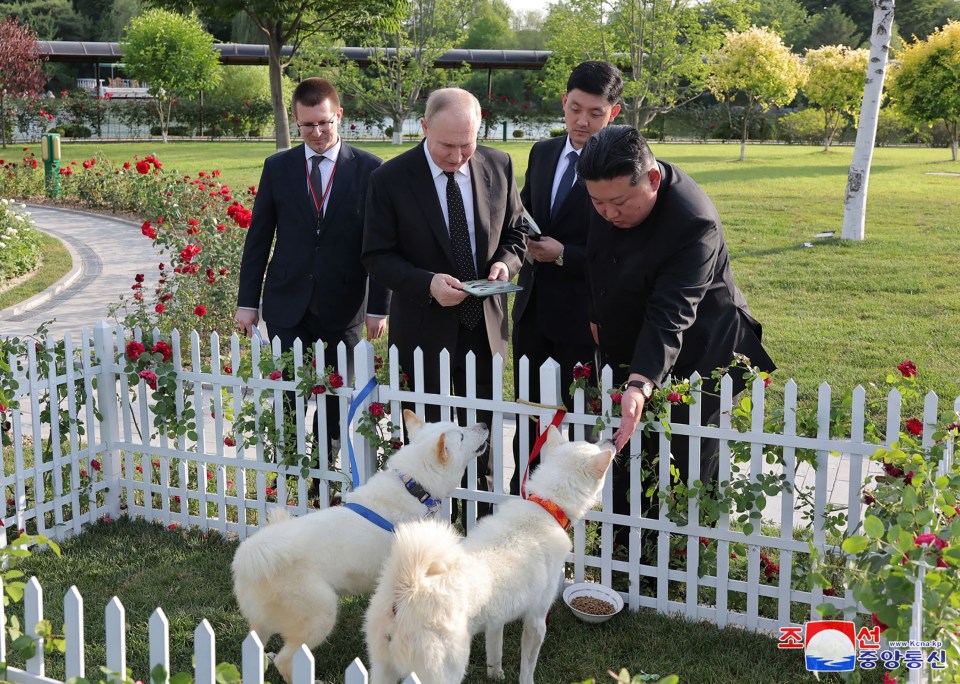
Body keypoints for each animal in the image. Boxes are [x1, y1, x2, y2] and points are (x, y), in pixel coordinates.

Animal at [232, 408, 488, 680]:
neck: (414, 487)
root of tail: (248, 557)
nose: (484, 423)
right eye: (461, 435)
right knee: (286, 659)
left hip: (264, 622)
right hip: (322, 613)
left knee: (256, 646)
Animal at [360, 428, 616, 684]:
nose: (612, 439)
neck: (546, 506)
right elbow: (527, 668)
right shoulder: (536, 620)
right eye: (594, 446)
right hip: (445, 672)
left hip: (382, 670)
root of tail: (409, 587)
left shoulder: (496, 619)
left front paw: (496, 674)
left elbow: (495, 650)